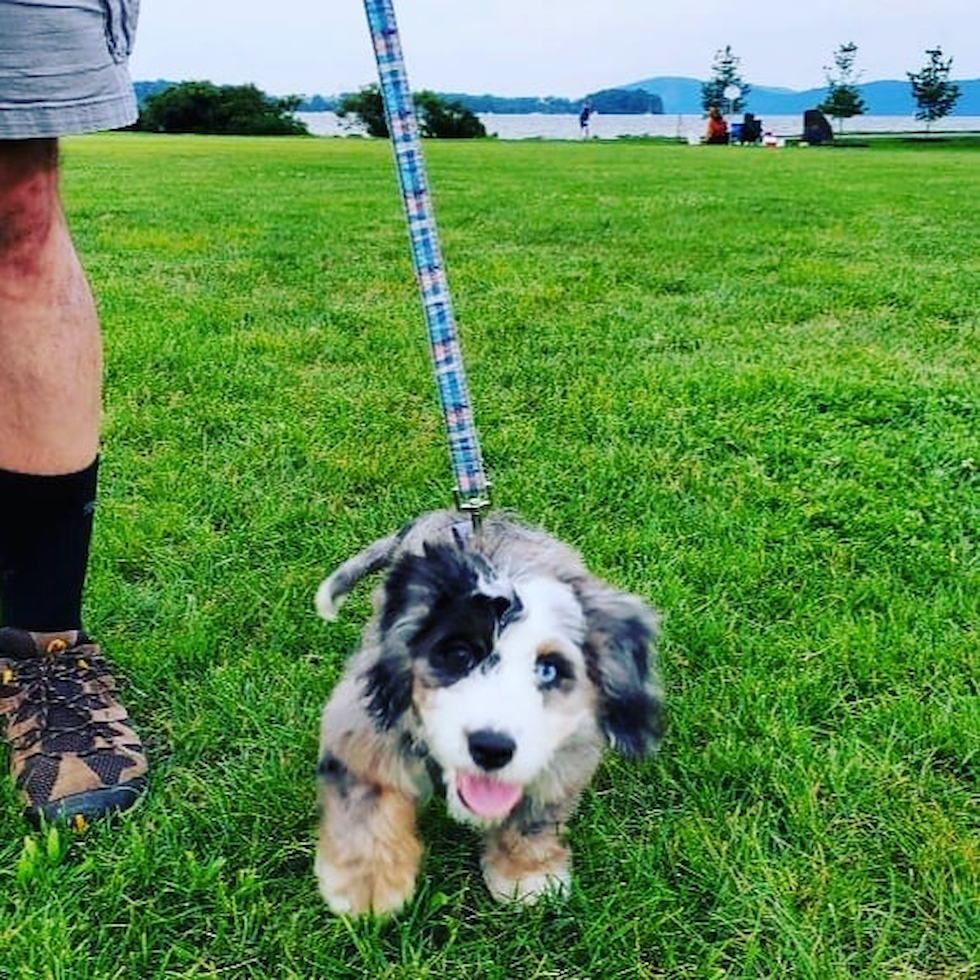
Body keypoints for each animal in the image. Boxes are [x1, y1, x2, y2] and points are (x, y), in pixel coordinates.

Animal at [314, 510, 668, 916]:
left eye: (549, 669)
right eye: (459, 654)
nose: (492, 748)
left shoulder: (566, 754)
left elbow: (535, 817)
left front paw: (526, 874)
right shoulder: (363, 721)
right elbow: (366, 799)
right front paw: (366, 885)